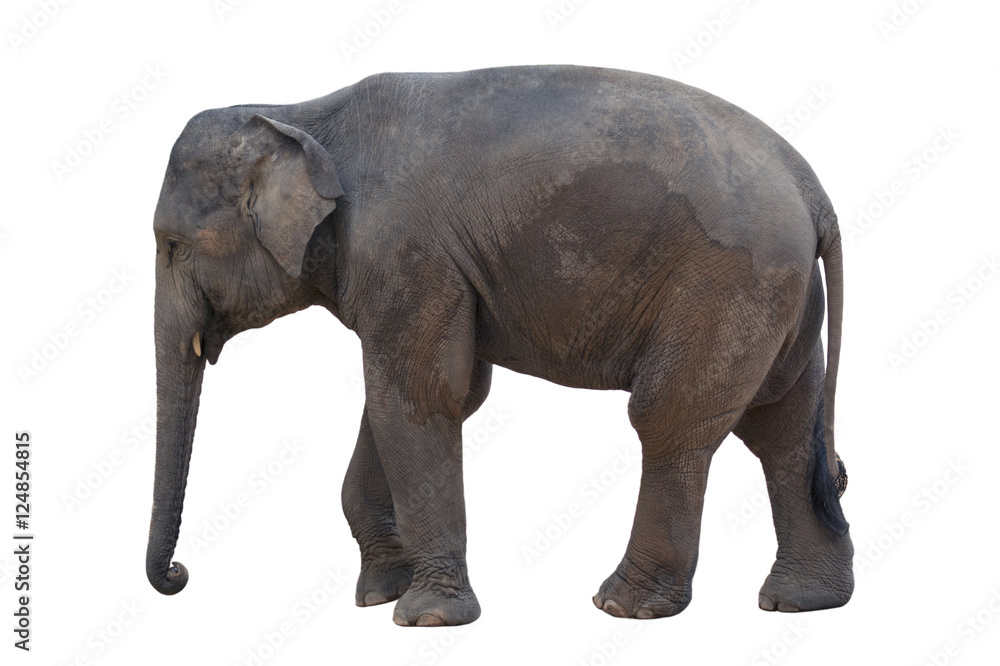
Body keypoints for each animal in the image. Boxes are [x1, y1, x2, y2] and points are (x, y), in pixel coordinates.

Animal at [147, 65, 853, 626]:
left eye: (171, 245)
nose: (179, 575)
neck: (300, 113)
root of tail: (815, 191)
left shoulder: (406, 250)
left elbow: (420, 396)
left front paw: (425, 617)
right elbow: (431, 396)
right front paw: (378, 594)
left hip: (728, 283)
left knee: (670, 420)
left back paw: (621, 605)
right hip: (780, 294)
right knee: (784, 426)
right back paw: (802, 602)